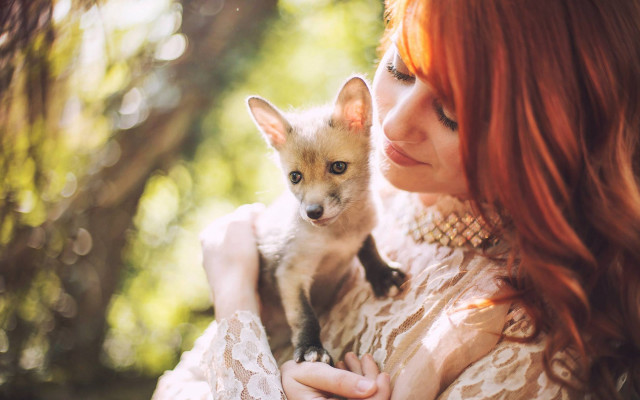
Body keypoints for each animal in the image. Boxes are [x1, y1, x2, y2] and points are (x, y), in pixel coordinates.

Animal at [247, 76, 406, 365]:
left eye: (338, 167)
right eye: (295, 177)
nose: (312, 212)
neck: (340, 235)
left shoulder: (361, 232)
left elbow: (368, 247)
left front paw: (381, 273)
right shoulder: (290, 271)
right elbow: (304, 316)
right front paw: (311, 347)